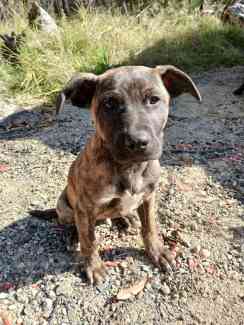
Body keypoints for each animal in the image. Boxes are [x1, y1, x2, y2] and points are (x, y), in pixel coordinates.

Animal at [38, 64, 202, 282]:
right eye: (109, 103)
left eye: (153, 99)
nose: (137, 142)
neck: (130, 168)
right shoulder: (85, 208)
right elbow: (89, 240)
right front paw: (93, 266)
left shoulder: (149, 197)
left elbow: (150, 227)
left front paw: (157, 252)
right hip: (64, 206)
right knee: (73, 223)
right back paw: (74, 235)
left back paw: (126, 218)